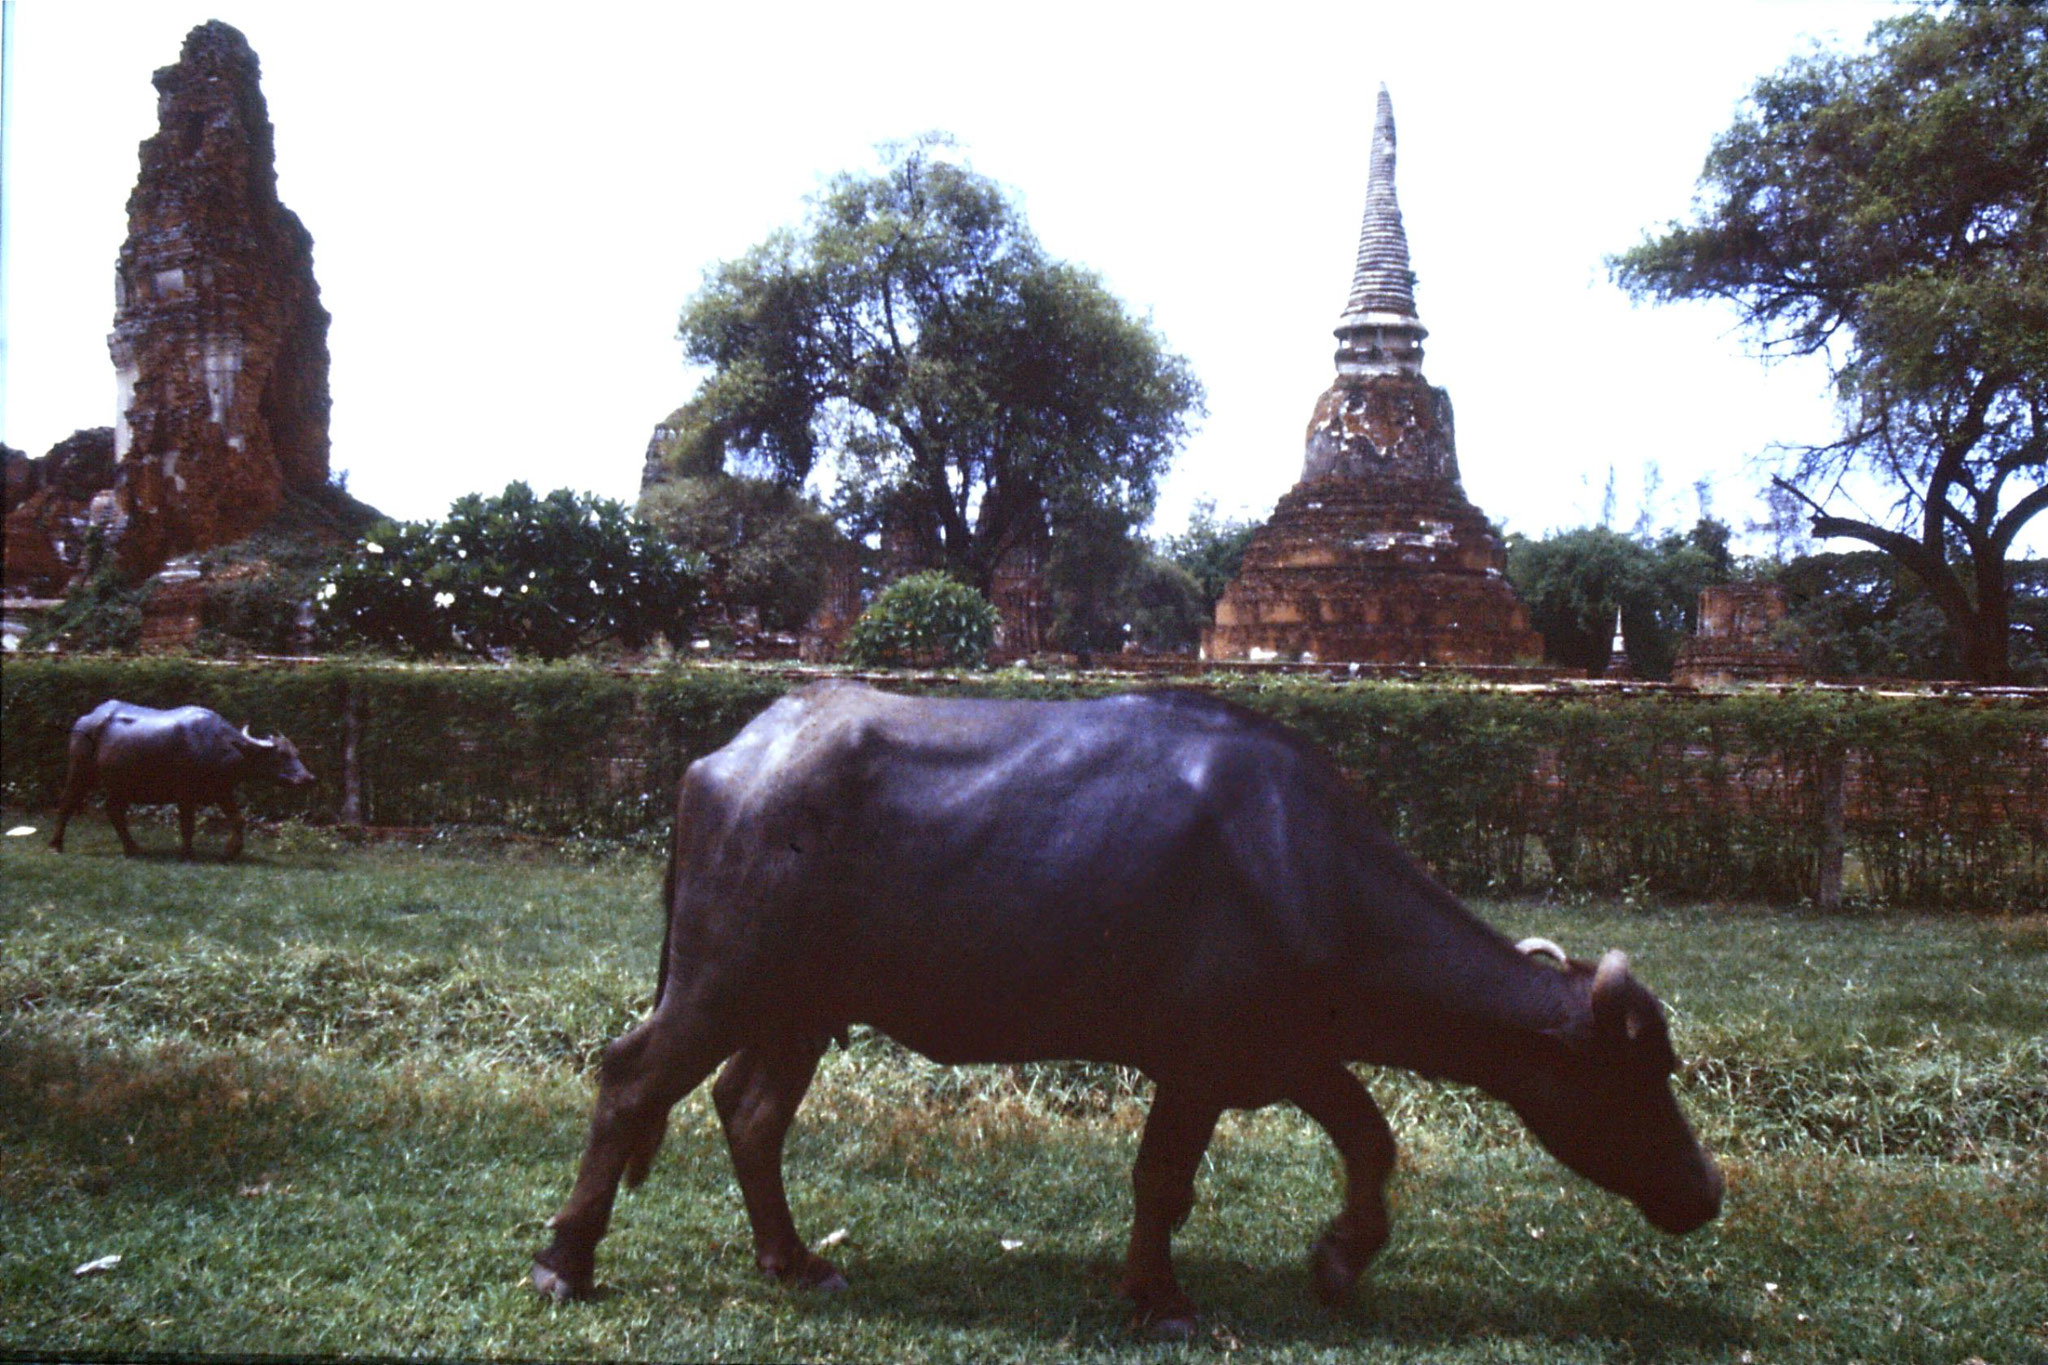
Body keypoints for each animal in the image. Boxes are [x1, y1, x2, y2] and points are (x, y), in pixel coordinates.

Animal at [48, 699, 315, 859]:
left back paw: (133, 848)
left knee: (113, 811)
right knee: (66, 803)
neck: (220, 746)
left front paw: (231, 851)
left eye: (296, 752)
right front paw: (186, 853)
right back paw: (56, 845)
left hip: (120, 785)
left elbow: (238, 819)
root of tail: (85, 719)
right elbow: (188, 825)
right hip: (81, 771)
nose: (308, 778)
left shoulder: (221, 791)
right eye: (280, 755)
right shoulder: (185, 795)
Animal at [536, 683, 1720, 1334]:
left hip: (796, 1008)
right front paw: (1160, 1298)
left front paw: (1339, 1259)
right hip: (719, 981)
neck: (1298, 867)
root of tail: (728, 756)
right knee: (631, 1077)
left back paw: (792, 1261)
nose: (1705, 1190)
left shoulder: (1289, 1055)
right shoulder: (1195, 1066)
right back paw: (565, 1261)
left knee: (750, 1112)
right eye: (1637, 1071)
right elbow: (1163, 1179)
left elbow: (1370, 1138)